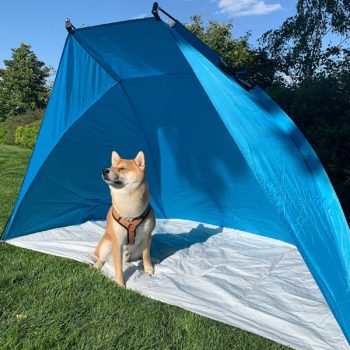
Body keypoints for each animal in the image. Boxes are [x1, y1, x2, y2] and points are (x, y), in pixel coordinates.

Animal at [93, 150, 155, 288]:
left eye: (122, 168)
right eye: (111, 167)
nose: (104, 170)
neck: (130, 212)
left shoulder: (147, 236)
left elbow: (146, 255)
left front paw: (148, 268)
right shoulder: (117, 241)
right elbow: (118, 266)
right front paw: (119, 282)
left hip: (138, 248)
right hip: (106, 245)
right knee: (100, 257)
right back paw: (97, 265)